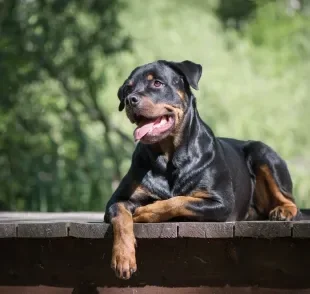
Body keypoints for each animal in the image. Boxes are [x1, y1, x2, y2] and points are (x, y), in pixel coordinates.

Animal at [103, 59, 300, 280]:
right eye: (127, 88)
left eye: (157, 83)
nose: (130, 100)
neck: (169, 157)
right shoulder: (117, 200)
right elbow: (121, 217)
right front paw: (123, 257)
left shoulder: (221, 202)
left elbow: (177, 201)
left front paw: (146, 211)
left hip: (261, 151)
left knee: (290, 199)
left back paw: (283, 211)